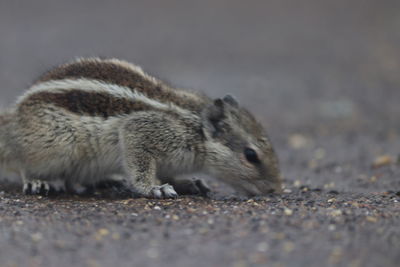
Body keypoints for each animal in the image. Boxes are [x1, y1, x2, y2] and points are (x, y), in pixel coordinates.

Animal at [0, 57, 282, 198]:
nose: (275, 191)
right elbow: (141, 166)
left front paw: (189, 183)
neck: (194, 127)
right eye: (251, 155)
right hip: (55, 146)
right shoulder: (143, 132)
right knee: (25, 163)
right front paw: (155, 188)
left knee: (73, 179)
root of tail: (13, 119)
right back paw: (36, 181)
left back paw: (107, 181)